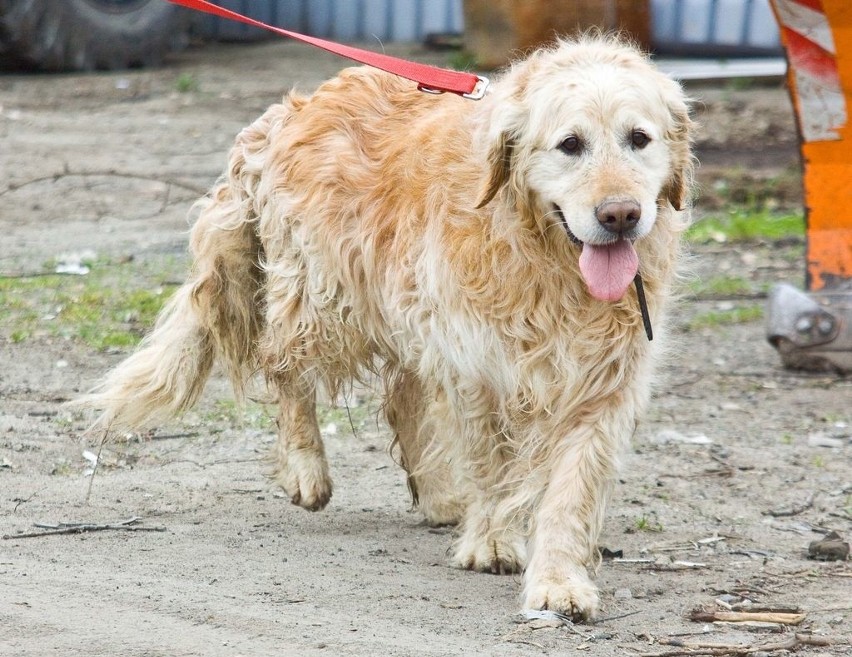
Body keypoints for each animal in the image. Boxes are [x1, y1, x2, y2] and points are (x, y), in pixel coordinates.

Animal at [80, 34, 692, 620]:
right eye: (570, 144)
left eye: (639, 138)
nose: (621, 215)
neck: (548, 262)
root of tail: (294, 107)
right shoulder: (476, 365)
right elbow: (490, 462)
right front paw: (493, 542)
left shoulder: (602, 382)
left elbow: (571, 490)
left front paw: (559, 582)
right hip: (322, 299)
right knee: (284, 367)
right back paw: (307, 469)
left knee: (402, 401)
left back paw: (440, 497)